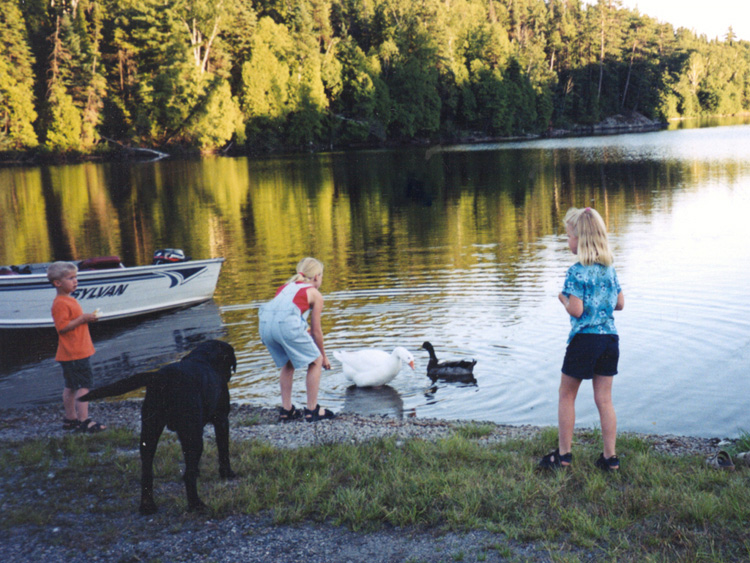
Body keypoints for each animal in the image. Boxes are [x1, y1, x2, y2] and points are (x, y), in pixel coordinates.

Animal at [79, 340, 237, 515]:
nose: (230, 375)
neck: (205, 356)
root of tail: (160, 377)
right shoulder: (221, 419)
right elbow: (224, 451)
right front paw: (227, 473)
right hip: (194, 437)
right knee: (187, 476)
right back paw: (196, 505)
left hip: (150, 432)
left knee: (147, 472)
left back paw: (147, 506)